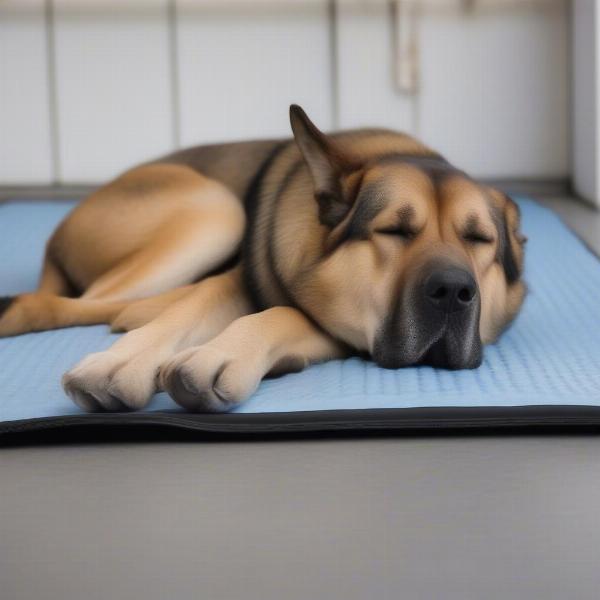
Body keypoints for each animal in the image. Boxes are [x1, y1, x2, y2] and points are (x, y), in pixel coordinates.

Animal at [0, 105, 524, 412]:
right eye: (393, 231)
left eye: (479, 240)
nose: (453, 291)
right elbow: (193, 309)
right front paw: (120, 363)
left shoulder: (339, 331)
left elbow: (280, 315)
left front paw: (220, 353)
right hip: (215, 210)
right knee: (59, 302)